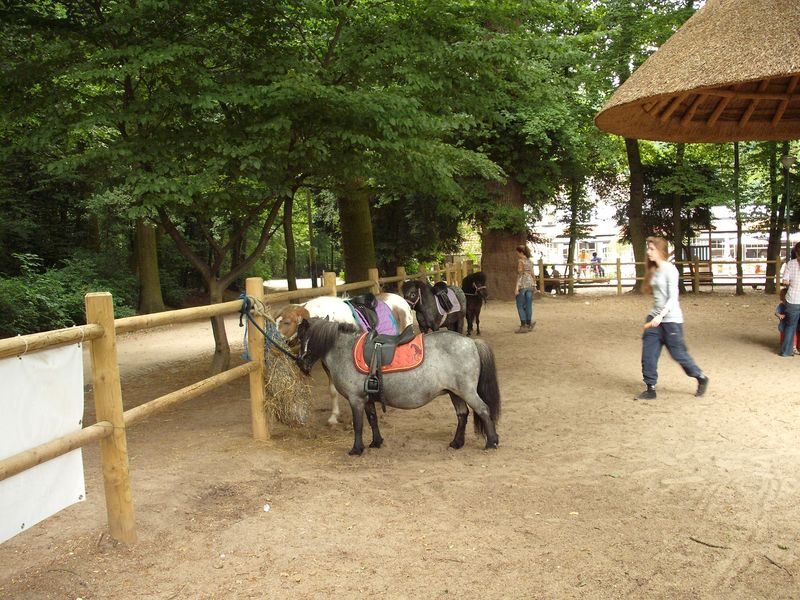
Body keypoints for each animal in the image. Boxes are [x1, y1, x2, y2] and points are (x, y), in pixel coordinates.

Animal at [296, 318, 500, 454]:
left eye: (306, 339)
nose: (300, 363)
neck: (345, 350)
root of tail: (471, 342)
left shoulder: (356, 399)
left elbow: (359, 425)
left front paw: (356, 449)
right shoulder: (367, 399)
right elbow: (372, 419)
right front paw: (376, 442)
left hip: (467, 391)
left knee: (483, 410)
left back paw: (492, 442)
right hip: (454, 392)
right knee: (462, 414)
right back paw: (457, 443)